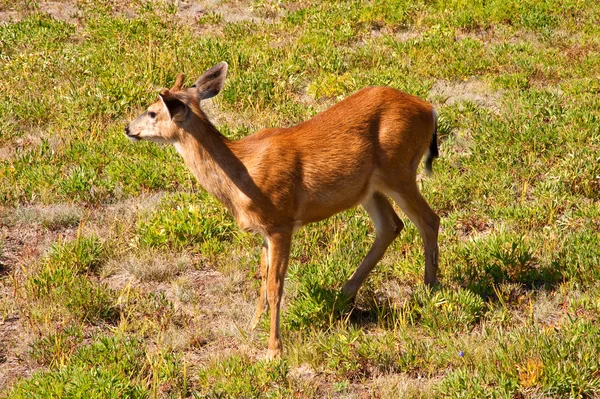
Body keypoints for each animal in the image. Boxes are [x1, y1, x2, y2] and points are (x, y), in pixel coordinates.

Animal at [124, 61, 440, 360]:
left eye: (152, 112)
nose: (127, 128)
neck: (244, 175)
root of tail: (430, 109)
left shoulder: (281, 222)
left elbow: (276, 286)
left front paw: (273, 349)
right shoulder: (264, 229)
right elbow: (263, 277)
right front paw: (253, 325)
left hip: (398, 169)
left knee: (429, 219)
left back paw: (430, 289)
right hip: (369, 188)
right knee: (391, 225)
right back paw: (344, 294)